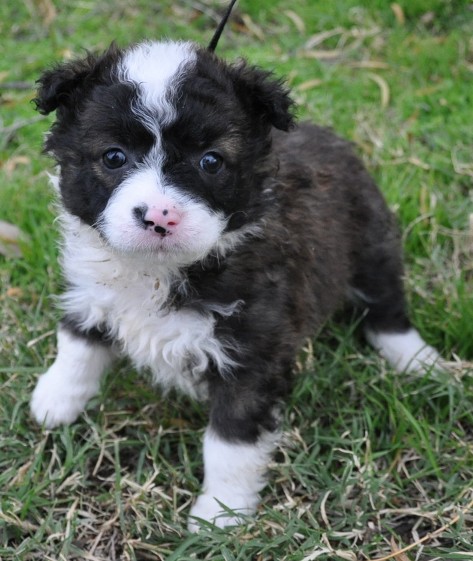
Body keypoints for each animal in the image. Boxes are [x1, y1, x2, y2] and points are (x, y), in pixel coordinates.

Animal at [31, 39, 440, 528]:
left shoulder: (251, 354)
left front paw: (219, 514)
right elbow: (76, 345)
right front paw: (56, 398)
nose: (159, 217)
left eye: (211, 161)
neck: (161, 273)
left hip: (370, 242)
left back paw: (417, 359)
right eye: (114, 156)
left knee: (386, 305)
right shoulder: (93, 292)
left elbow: (230, 445)